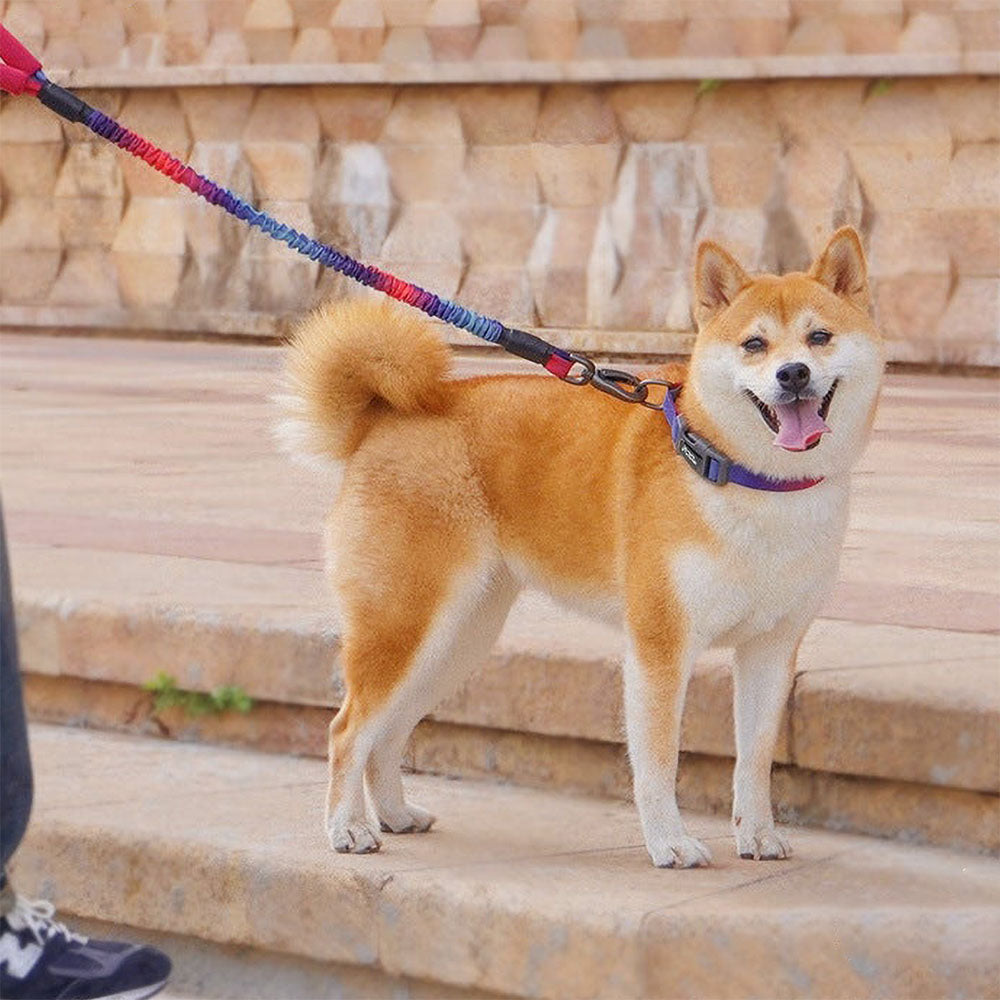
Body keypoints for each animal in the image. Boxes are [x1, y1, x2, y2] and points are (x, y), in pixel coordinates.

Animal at [282, 227, 884, 868]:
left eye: (819, 337)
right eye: (754, 344)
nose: (793, 374)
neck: (743, 478)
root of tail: (384, 417)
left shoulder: (771, 648)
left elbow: (754, 760)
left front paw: (758, 835)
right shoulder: (660, 646)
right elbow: (658, 762)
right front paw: (669, 843)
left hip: (455, 641)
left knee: (388, 732)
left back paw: (395, 814)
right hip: (405, 624)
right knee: (348, 731)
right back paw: (347, 828)